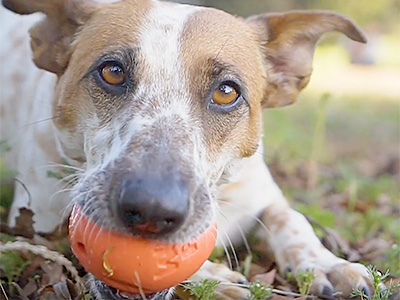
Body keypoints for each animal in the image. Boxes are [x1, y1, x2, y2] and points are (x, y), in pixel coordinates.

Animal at [1, 0, 374, 298]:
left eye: (226, 91)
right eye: (112, 72)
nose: (151, 210)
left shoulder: (263, 194)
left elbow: (291, 218)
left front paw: (326, 262)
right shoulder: (36, 220)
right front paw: (212, 276)